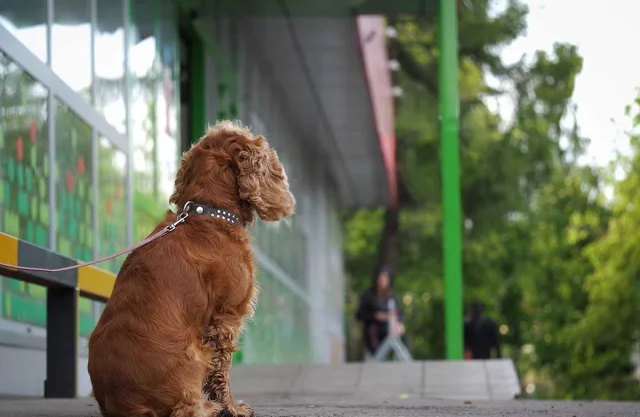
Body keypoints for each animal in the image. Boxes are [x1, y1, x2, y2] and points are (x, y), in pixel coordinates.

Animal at [87, 120, 296, 416]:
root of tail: (127, 406)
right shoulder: (226, 316)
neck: (209, 212)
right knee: (185, 409)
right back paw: (210, 407)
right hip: (196, 354)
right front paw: (232, 407)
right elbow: (223, 369)